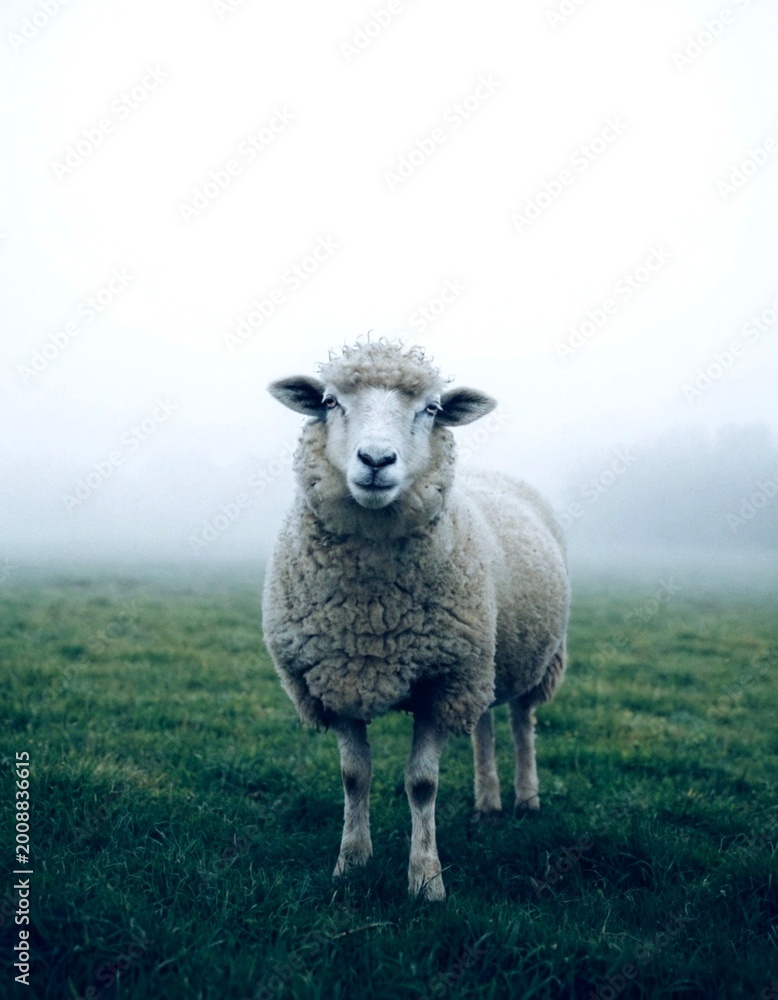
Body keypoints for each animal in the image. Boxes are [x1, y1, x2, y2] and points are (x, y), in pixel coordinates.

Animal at [262, 340, 569, 900]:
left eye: (430, 409)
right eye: (330, 401)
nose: (376, 460)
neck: (373, 612)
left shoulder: (440, 682)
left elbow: (421, 784)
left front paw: (426, 881)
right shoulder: (337, 680)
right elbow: (354, 776)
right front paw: (351, 863)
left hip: (532, 657)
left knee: (522, 721)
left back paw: (525, 799)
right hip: (482, 660)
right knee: (485, 722)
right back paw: (487, 805)